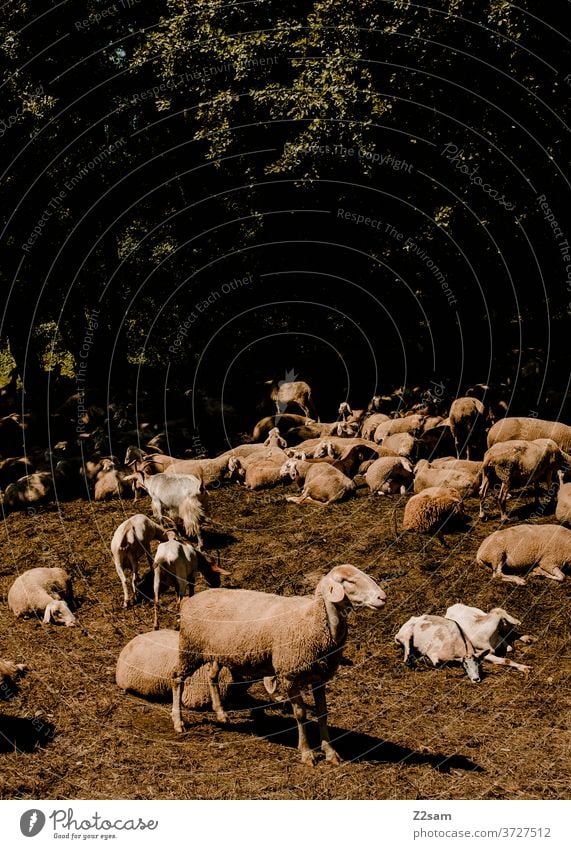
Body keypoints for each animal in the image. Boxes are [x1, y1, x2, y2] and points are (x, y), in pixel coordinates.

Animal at [173, 568, 388, 764]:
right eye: (349, 581)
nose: (383, 597)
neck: (314, 619)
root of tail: (190, 600)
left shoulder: (319, 677)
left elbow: (323, 713)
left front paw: (330, 752)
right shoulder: (289, 674)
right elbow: (300, 714)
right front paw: (306, 753)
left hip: (217, 653)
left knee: (212, 676)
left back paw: (220, 713)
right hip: (190, 648)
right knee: (177, 678)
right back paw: (178, 721)